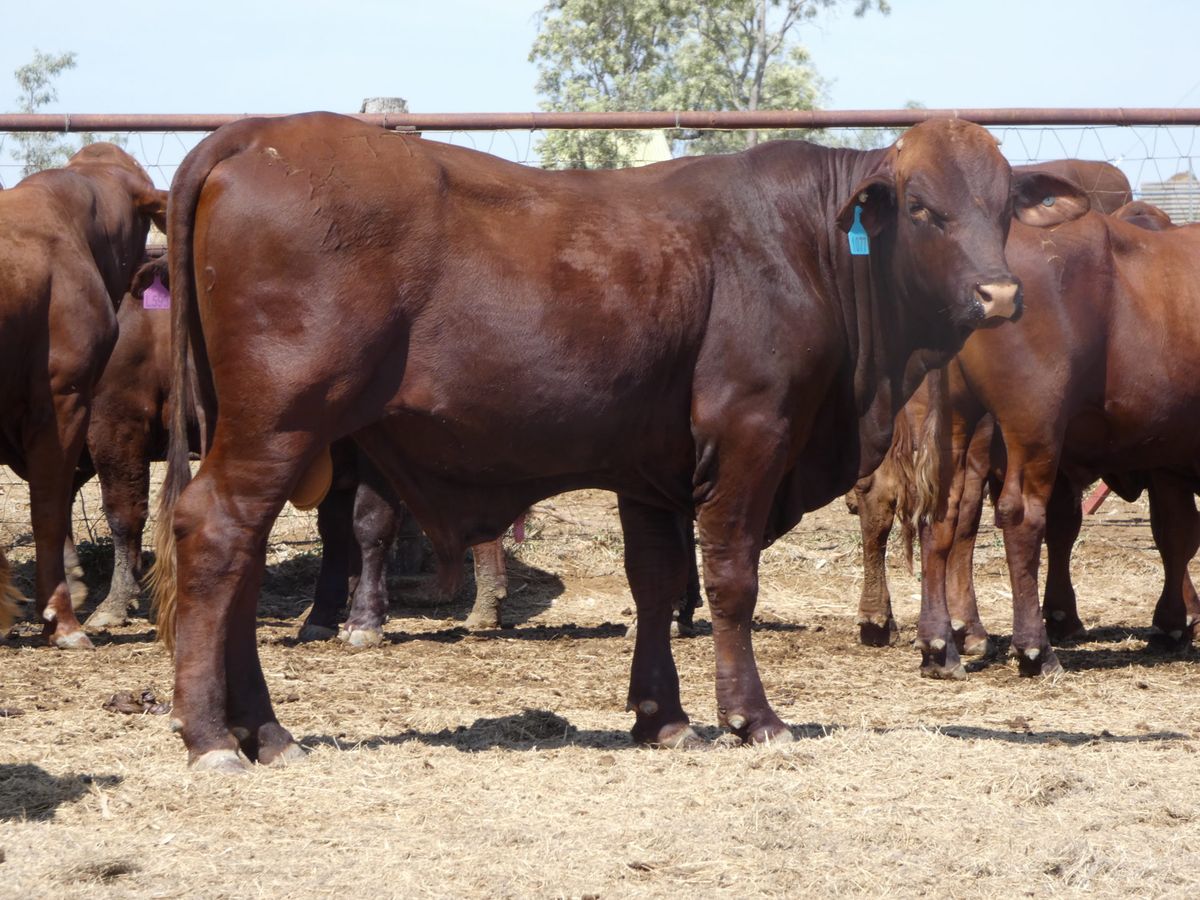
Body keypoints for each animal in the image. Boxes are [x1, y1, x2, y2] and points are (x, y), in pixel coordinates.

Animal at [147, 112, 1086, 771]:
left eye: (1002, 207)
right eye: (924, 209)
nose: (1000, 294)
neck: (807, 245)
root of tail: (252, 134)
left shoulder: (649, 465)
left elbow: (656, 583)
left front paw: (662, 720)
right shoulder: (750, 436)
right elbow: (731, 580)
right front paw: (751, 717)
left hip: (267, 434)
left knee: (238, 562)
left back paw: (265, 731)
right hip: (279, 423)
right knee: (216, 536)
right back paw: (213, 738)